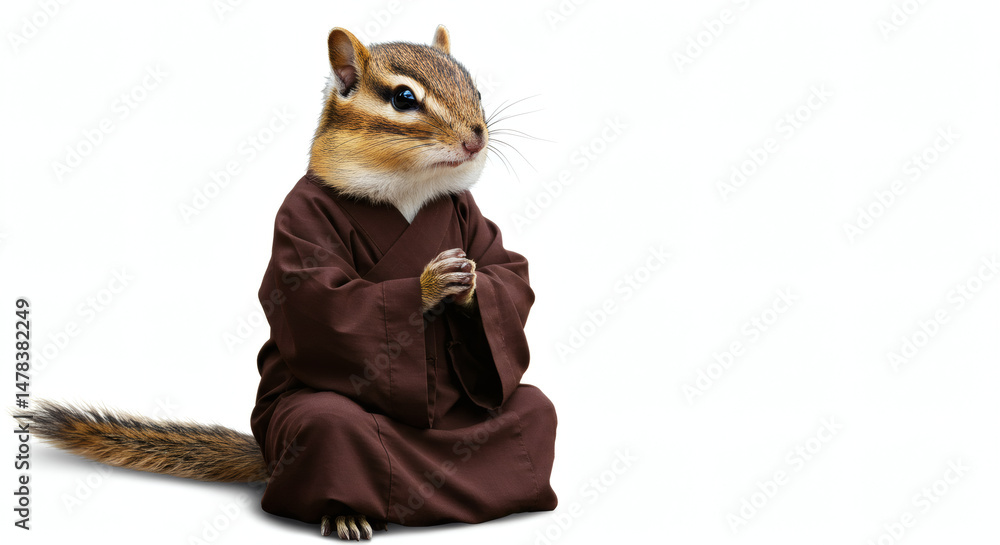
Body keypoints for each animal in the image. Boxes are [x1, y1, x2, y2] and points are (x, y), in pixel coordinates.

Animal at [26, 25, 519, 541]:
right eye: (404, 98)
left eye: (476, 90)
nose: (476, 138)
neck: (409, 186)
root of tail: (268, 457)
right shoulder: (301, 223)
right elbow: (327, 303)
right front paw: (429, 282)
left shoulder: (476, 221)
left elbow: (509, 274)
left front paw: (473, 285)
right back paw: (346, 513)